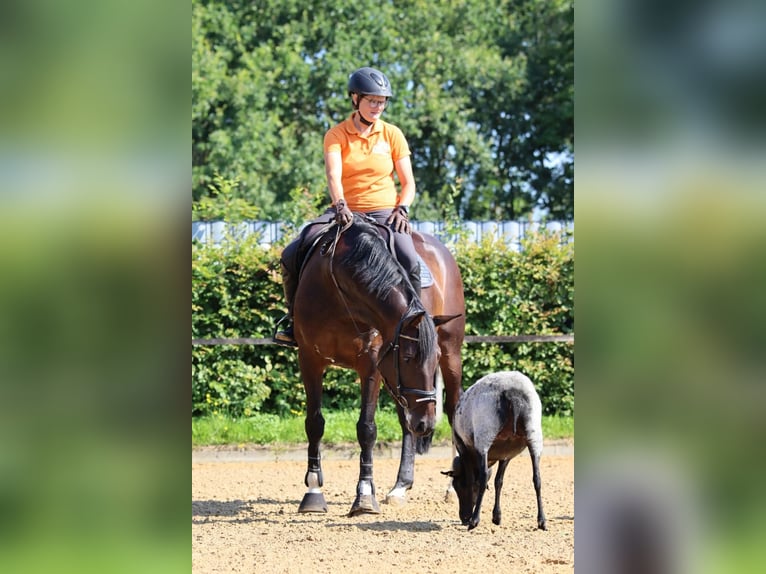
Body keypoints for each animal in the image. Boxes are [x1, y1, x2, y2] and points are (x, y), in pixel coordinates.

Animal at [294, 215, 468, 516]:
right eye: (408, 358)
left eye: (432, 359)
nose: (426, 424)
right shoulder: (309, 359)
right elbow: (314, 423)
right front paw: (313, 491)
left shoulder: (372, 363)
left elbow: (366, 429)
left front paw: (364, 496)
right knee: (406, 422)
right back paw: (401, 486)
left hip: (451, 354)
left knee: (451, 409)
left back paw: (451, 487)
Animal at [440, 372, 548, 532]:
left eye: (457, 485)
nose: (463, 517)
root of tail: (512, 390)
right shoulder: (506, 455)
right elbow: (498, 482)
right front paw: (497, 517)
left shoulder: (463, 447)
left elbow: (474, 481)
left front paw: (473, 517)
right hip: (534, 434)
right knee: (537, 478)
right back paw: (542, 521)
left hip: (485, 433)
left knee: (484, 477)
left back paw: (474, 521)